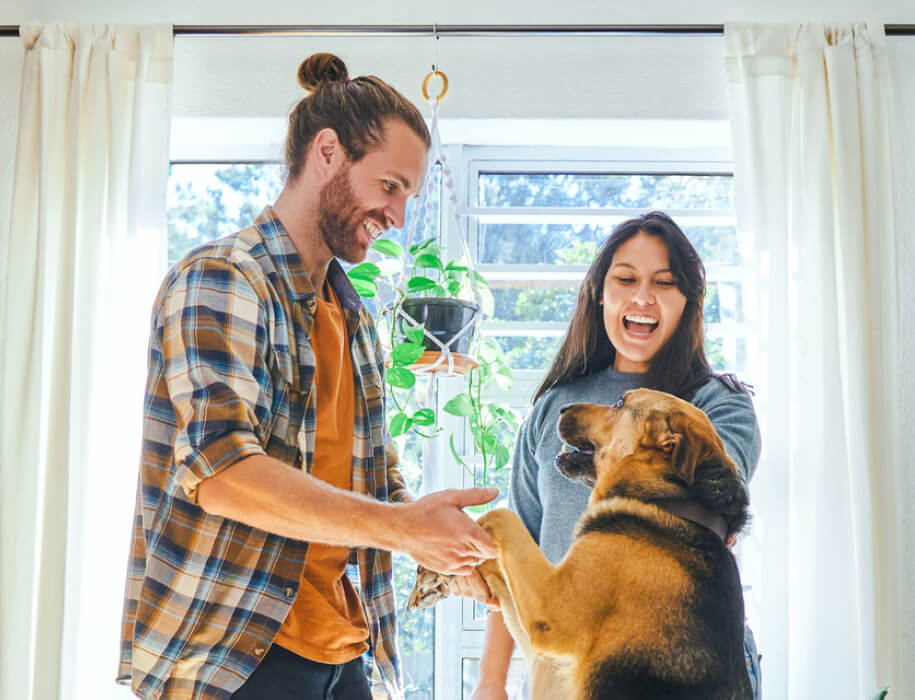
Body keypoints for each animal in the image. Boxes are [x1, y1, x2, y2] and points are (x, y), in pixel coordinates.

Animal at [412, 388, 756, 700]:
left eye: (619, 402)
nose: (561, 408)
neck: (674, 503)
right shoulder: (546, 655)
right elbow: (495, 554)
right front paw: (436, 575)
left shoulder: (551, 610)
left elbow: (501, 515)